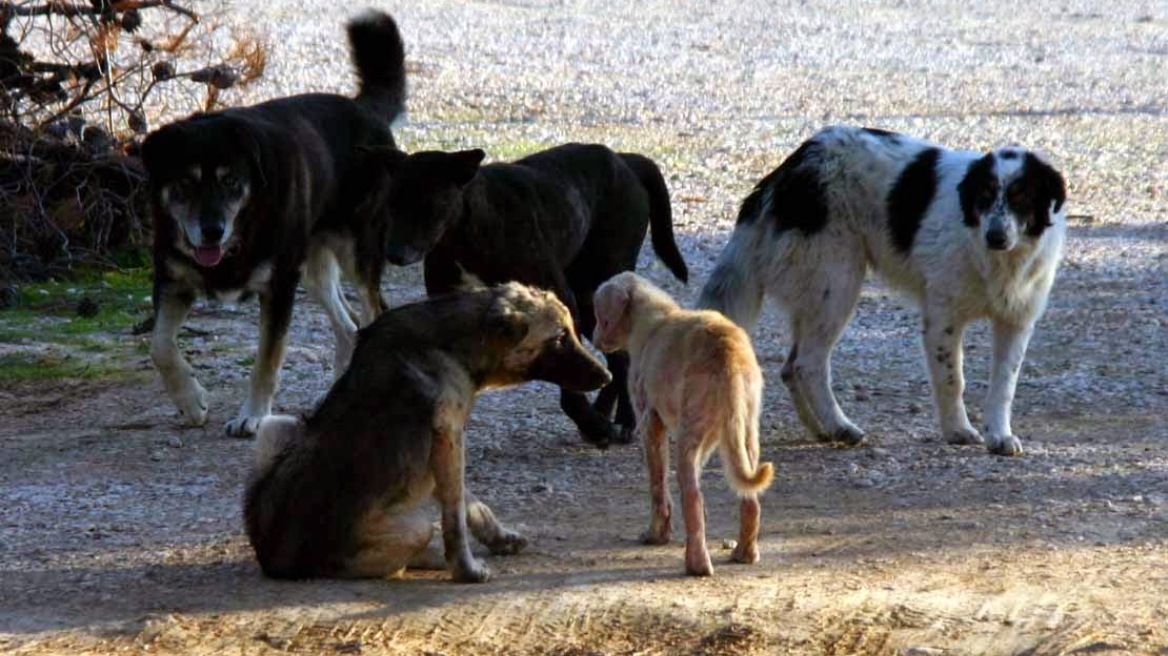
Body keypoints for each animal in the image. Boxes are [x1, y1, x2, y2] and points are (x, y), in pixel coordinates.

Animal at [141, 8, 408, 434]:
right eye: (184, 183)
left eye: (230, 181)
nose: (211, 231)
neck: (241, 232)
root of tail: (364, 109)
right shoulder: (173, 281)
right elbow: (160, 347)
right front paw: (191, 402)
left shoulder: (278, 287)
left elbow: (266, 361)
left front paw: (252, 416)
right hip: (314, 268)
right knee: (350, 328)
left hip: (356, 253)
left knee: (373, 312)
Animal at [244, 283, 612, 578]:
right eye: (560, 338)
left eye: (572, 332)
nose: (607, 377)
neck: (453, 343)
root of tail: (273, 559)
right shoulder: (449, 438)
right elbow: (455, 518)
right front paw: (465, 570)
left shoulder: (445, 448)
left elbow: (471, 504)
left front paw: (499, 538)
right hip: (412, 528)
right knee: (398, 557)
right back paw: (432, 558)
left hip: (277, 426)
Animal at [359, 142, 686, 445]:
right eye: (390, 204)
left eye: (429, 203)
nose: (394, 253)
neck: (467, 231)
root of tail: (625, 160)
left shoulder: (562, 300)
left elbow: (570, 381)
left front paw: (592, 424)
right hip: (591, 303)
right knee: (617, 357)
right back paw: (606, 415)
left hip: (595, 287)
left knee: (623, 357)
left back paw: (622, 421)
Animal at [593, 269, 775, 571]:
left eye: (599, 316)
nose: (595, 339)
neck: (655, 318)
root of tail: (729, 355)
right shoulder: (712, 437)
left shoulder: (650, 423)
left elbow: (658, 486)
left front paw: (657, 535)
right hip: (744, 433)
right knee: (749, 499)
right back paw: (745, 553)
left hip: (690, 434)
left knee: (692, 495)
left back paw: (697, 564)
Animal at [700, 126, 1069, 455]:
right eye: (985, 195)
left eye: (1022, 197)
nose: (996, 236)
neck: (996, 258)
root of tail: (791, 166)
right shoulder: (943, 318)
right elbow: (952, 379)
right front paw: (958, 430)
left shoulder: (1016, 321)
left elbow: (1004, 384)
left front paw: (999, 436)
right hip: (837, 282)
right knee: (808, 363)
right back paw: (840, 426)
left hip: (817, 293)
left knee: (790, 368)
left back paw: (821, 429)